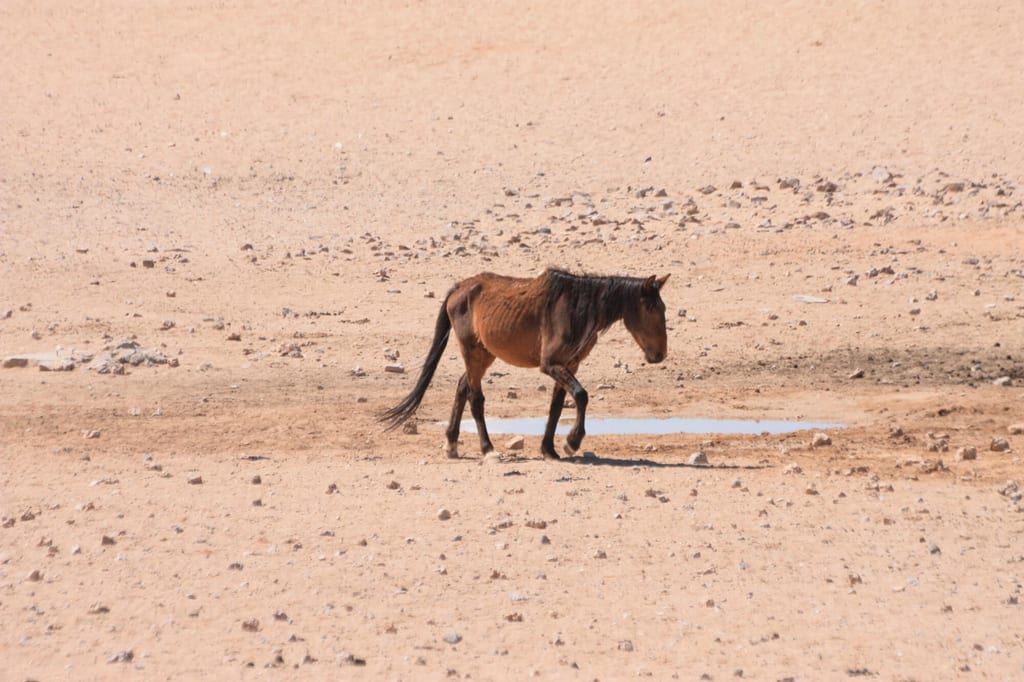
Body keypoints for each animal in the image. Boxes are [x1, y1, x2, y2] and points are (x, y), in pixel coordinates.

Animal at [381, 268, 669, 460]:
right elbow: (581, 395)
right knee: (475, 397)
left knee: (462, 388)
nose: (660, 354)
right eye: (651, 309)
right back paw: (488, 449)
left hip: (484, 355)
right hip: (471, 351)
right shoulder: (551, 364)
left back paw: (452, 444)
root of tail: (460, 288)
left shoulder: (569, 365)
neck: (577, 307)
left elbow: (556, 407)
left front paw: (549, 449)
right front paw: (572, 442)